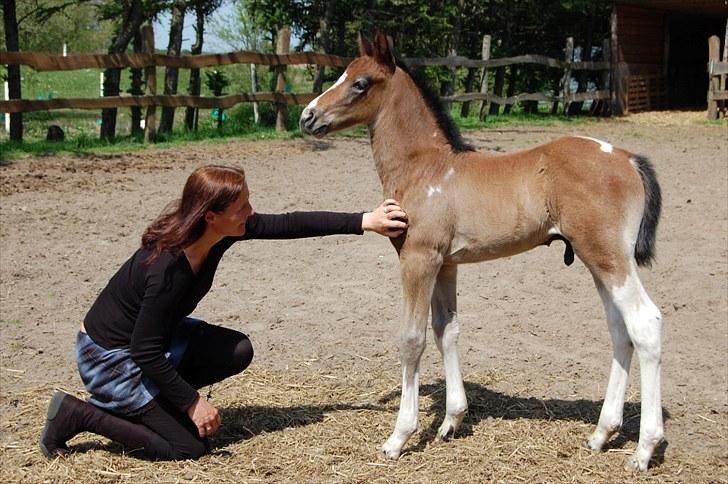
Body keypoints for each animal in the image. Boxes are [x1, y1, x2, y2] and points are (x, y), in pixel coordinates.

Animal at [298, 32, 664, 470]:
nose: (307, 116)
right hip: (597, 260)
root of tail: (628, 158)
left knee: (645, 324)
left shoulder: (418, 259)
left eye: (360, 83)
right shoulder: (446, 264)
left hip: (609, 257)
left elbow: (411, 339)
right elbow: (447, 330)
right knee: (620, 330)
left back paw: (644, 450)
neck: (426, 169)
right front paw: (451, 421)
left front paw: (399, 437)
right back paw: (601, 434)